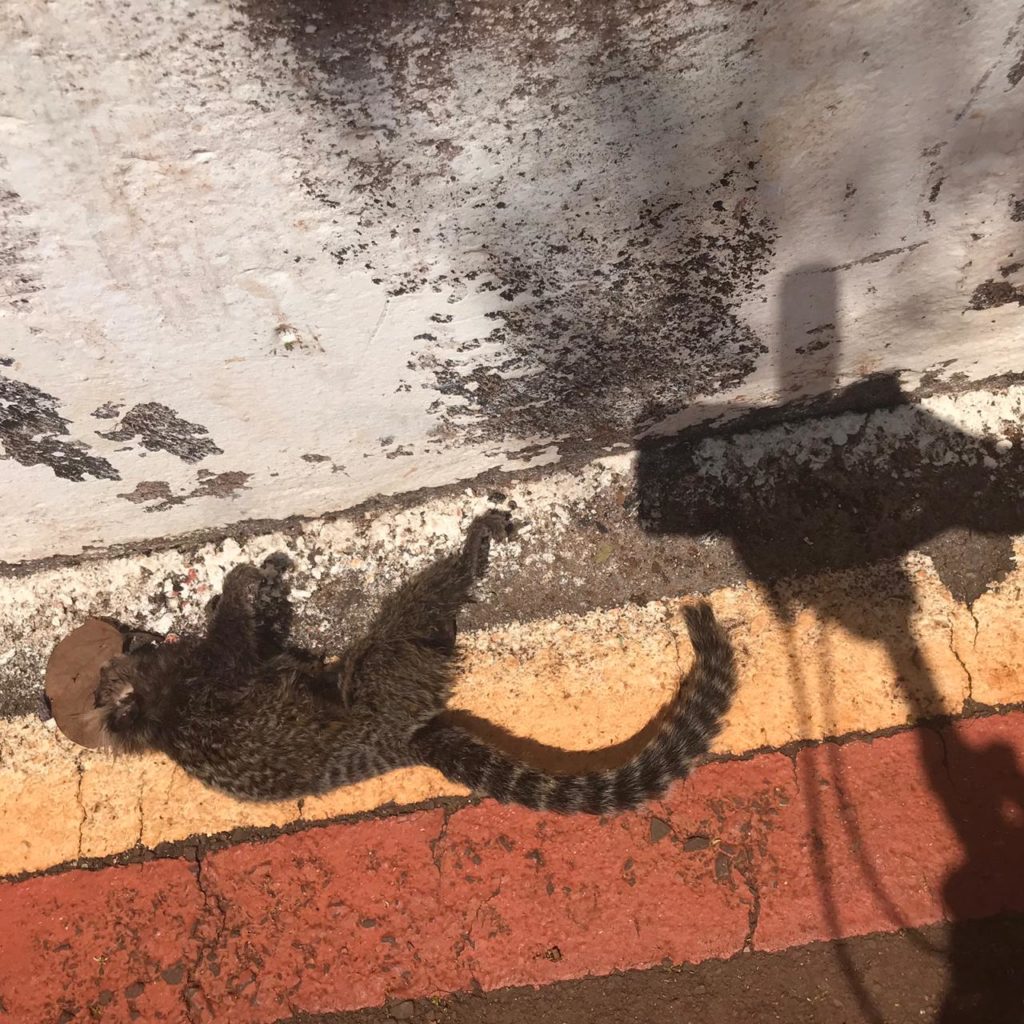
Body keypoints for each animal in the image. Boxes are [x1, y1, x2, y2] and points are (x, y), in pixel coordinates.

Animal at [92, 510, 737, 814]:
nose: (138, 646)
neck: (158, 712)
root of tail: (394, 744)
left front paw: (262, 596)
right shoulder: (207, 679)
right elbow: (236, 644)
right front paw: (241, 588)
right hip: (385, 685)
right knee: (406, 621)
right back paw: (472, 555)